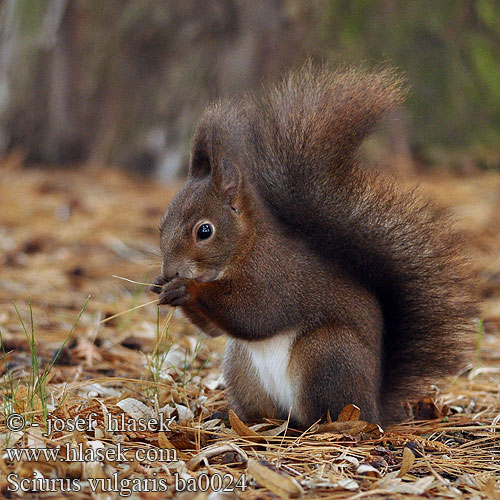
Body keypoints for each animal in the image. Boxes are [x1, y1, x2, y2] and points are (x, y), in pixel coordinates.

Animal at [150, 64, 478, 428]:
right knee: (264, 407)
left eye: (204, 231)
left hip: (325, 354)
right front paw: (164, 286)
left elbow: (255, 314)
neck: (246, 248)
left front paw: (187, 288)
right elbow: (213, 329)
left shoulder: (276, 278)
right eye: (162, 224)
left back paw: (304, 426)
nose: (171, 270)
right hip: (242, 365)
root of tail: (375, 406)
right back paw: (237, 417)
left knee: (322, 414)